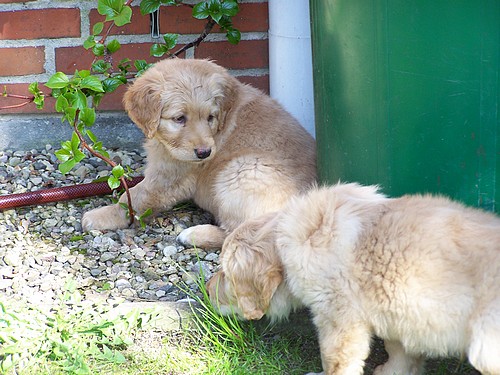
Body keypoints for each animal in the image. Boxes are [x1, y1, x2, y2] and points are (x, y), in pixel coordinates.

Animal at [82, 58, 316, 250]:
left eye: (210, 117)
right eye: (179, 118)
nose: (204, 153)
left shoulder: (169, 176)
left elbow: (135, 197)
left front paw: (103, 215)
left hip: (241, 169)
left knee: (244, 234)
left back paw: (194, 235)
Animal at [209, 184, 500, 375]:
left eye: (224, 272)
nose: (207, 290)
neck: (285, 237)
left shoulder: (339, 319)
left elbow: (335, 361)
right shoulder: (394, 310)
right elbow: (398, 350)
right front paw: (391, 371)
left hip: (485, 348)